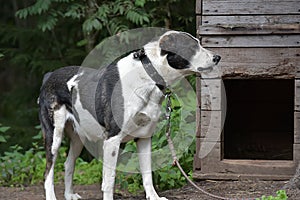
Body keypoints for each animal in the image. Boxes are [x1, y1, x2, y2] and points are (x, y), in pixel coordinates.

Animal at [38, 30, 220, 200]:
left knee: (68, 163)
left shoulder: (145, 137)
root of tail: (48, 77)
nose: (217, 57)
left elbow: (147, 174)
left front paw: (153, 197)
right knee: (48, 171)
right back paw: (52, 196)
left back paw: (69, 194)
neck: (148, 76)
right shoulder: (112, 140)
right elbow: (109, 179)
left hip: (79, 137)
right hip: (54, 136)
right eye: (192, 47)